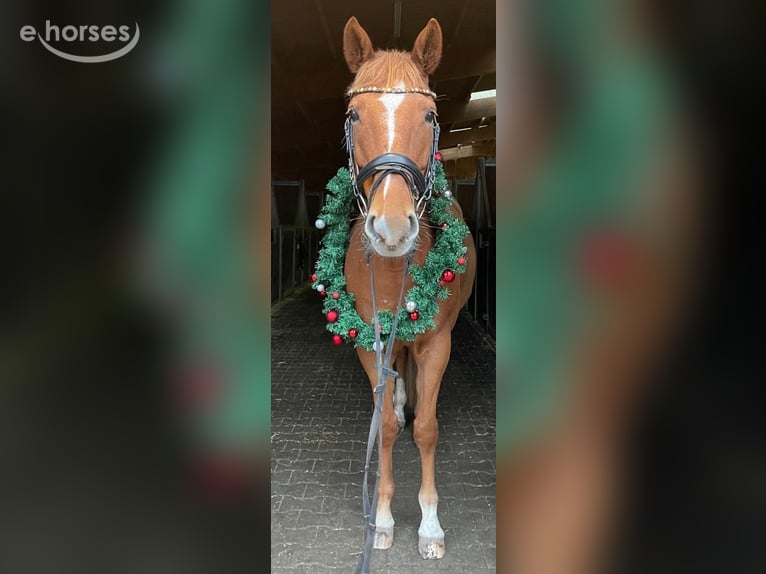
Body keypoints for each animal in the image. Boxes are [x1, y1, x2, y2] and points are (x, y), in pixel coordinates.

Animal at [339, 16, 476, 560]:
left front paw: (430, 526)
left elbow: (425, 429)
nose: (393, 229)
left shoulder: (438, 343)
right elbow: (389, 428)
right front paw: (380, 518)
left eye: (430, 115)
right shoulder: (369, 343)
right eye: (354, 115)